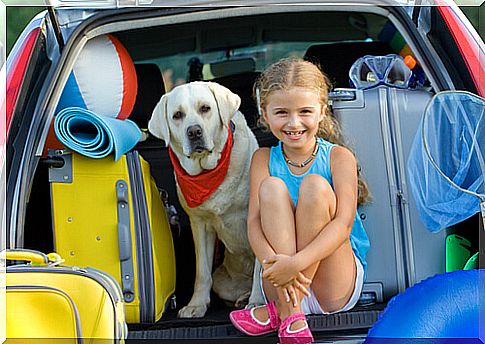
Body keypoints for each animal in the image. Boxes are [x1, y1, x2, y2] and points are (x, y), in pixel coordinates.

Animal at [148, 80, 262, 318]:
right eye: (177, 115)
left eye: (205, 108)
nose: (194, 131)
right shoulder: (200, 224)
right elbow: (201, 272)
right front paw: (196, 305)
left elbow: (260, 267)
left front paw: (258, 302)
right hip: (222, 280)